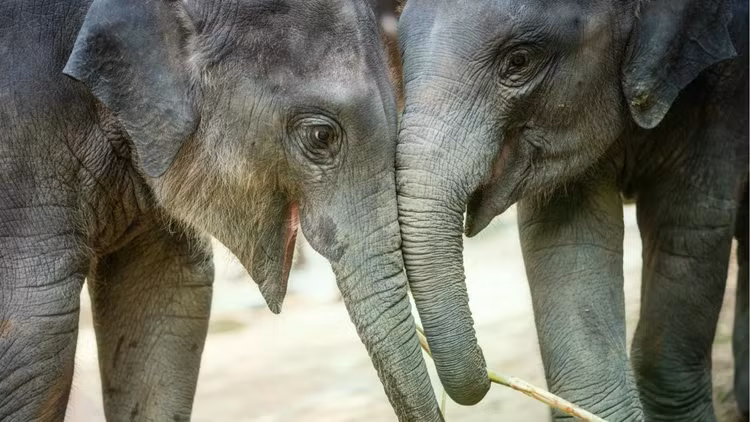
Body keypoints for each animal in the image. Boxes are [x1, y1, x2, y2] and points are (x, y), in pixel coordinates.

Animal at [395, 0, 748, 420]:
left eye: (519, 59)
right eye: (400, 53)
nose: (485, 366)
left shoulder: (725, 88)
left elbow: (686, 231)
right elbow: (568, 244)